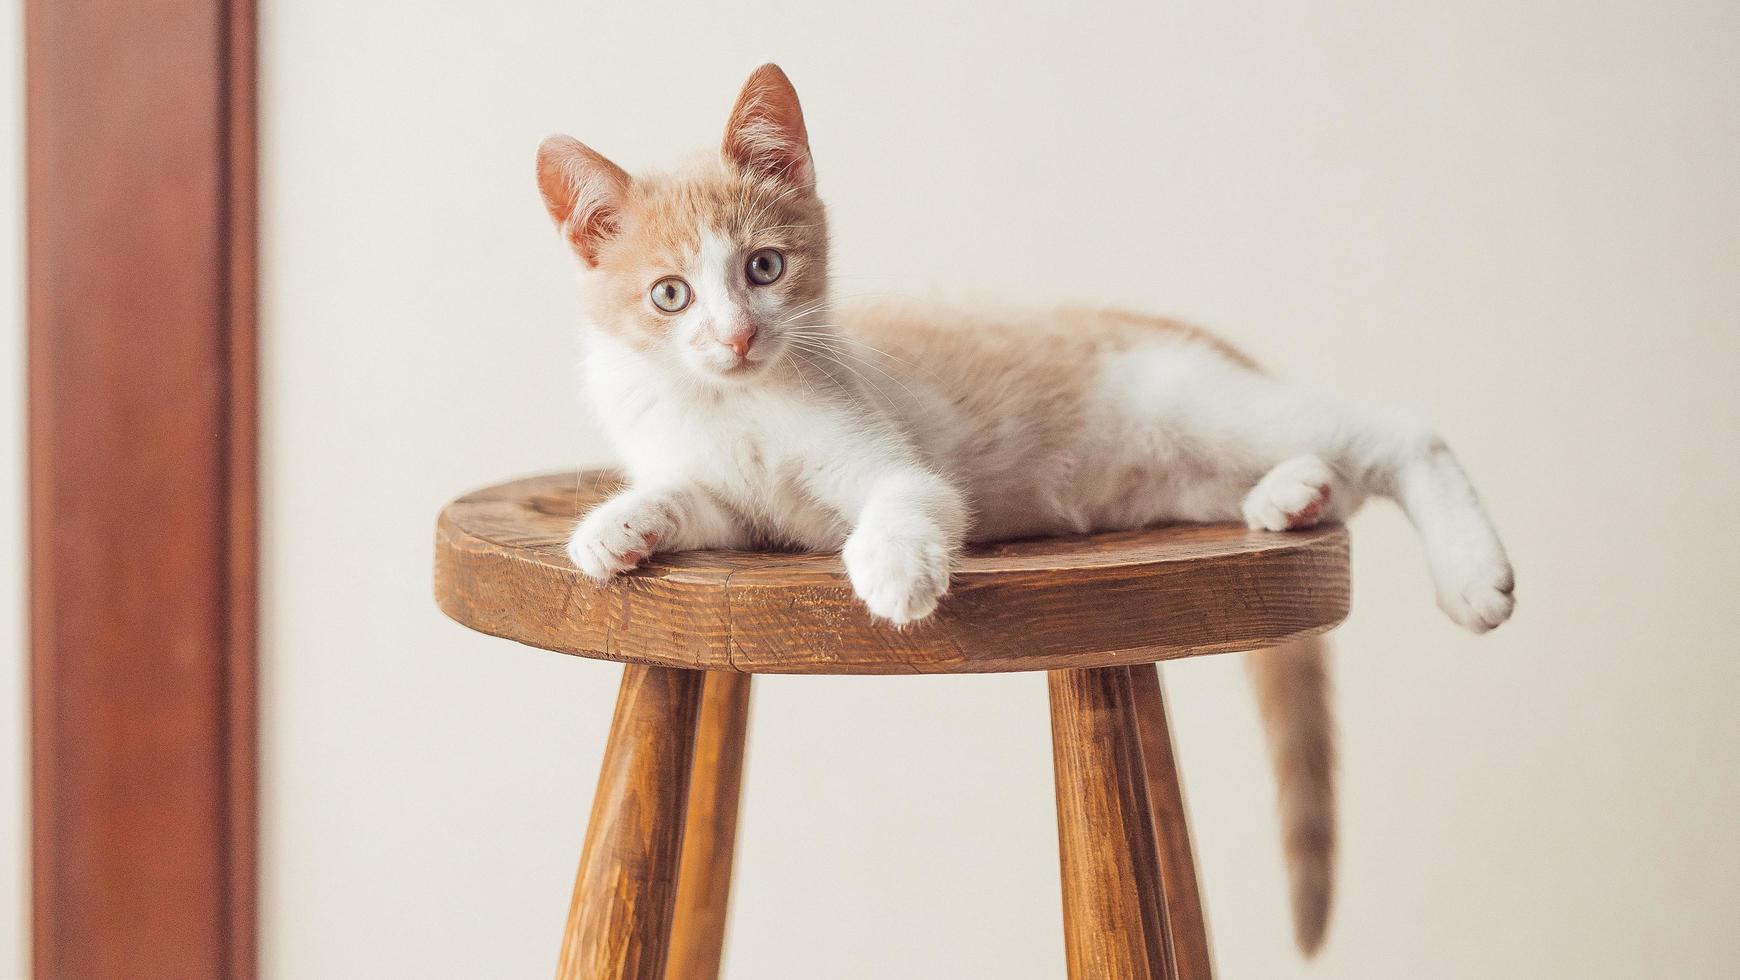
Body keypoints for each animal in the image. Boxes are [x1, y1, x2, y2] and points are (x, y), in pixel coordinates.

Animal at [535, 65, 1517, 953]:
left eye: (764, 268)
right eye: (670, 294)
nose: (737, 337)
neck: (732, 402)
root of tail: (1176, 331)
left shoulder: (893, 461)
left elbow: (909, 499)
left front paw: (895, 570)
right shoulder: (725, 500)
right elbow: (696, 500)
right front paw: (617, 528)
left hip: (1201, 404)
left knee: (1399, 433)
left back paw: (1472, 575)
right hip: (1178, 474)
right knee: (1315, 467)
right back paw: (1293, 495)